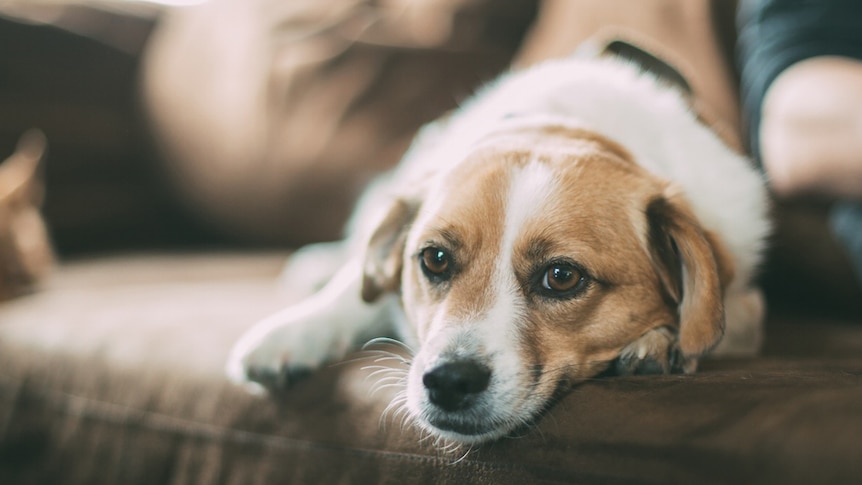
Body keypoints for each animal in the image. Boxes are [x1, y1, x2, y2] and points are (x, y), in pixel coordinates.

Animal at [226, 51, 772, 444]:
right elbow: (354, 290)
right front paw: (294, 332)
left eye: (562, 276)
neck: (563, 125)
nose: (448, 381)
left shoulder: (745, 301)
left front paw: (661, 341)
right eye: (434, 259)